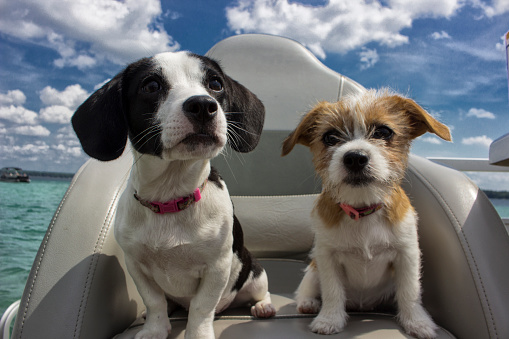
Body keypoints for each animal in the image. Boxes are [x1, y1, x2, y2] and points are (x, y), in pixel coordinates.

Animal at [71, 51, 274, 339]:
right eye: (151, 86)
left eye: (215, 84)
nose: (203, 105)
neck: (171, 197)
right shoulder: (136, 266)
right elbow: (154, 300)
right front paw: (154, 329)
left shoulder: (217, 267)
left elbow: (201, 307)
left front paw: (198, 334)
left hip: (255, 273)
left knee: (260, 292)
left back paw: (263, 307)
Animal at [282, 89, 452, 338]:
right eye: (330, 137)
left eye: (383, 132)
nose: (355, 157)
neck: (363, 209)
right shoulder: (327, 257)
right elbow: (332, 291)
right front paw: (329, 319)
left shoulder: (407, 254)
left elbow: (409, 291)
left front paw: (417, 322)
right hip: (313, 269)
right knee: (305, 288)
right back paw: (308, 303)